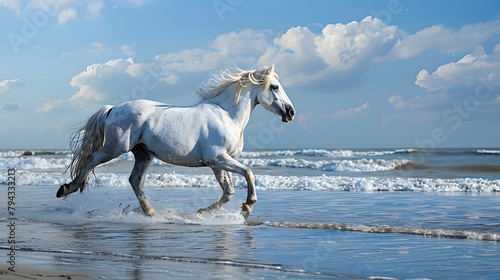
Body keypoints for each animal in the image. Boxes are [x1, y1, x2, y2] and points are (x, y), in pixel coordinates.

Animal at [56, 65, 294, 219]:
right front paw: (247, 207)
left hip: (144, 153)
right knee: (91, 159)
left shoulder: (218, 163)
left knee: (135, 180)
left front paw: (203, 213)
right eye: (274, 87)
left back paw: (151, 213)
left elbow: (228, 191)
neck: (227, 116)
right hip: (115, 148)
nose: (290, 112)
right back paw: (66, 189)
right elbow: (248, 173)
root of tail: (112, 108)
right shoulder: (218, 159)